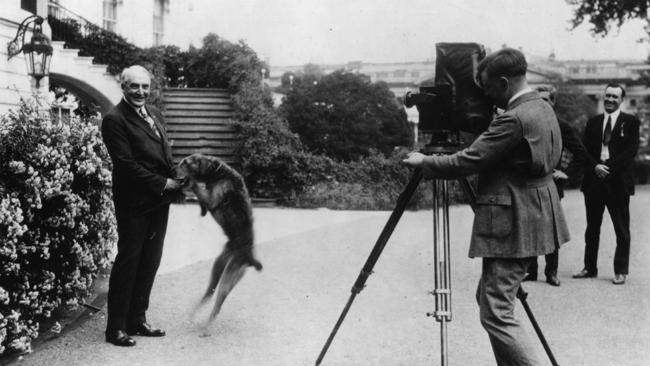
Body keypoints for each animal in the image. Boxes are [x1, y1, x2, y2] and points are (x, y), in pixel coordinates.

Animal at [175, 153, 264, 334]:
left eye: (186, 162)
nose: (173, 170)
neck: (218, 172)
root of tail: (249, 258)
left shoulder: (211, 198)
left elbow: (196, 187)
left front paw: (190, 182)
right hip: (218, 267)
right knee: (208, 295)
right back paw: (193, 315)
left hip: (228, 278)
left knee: (217, 307)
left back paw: (205, 328)